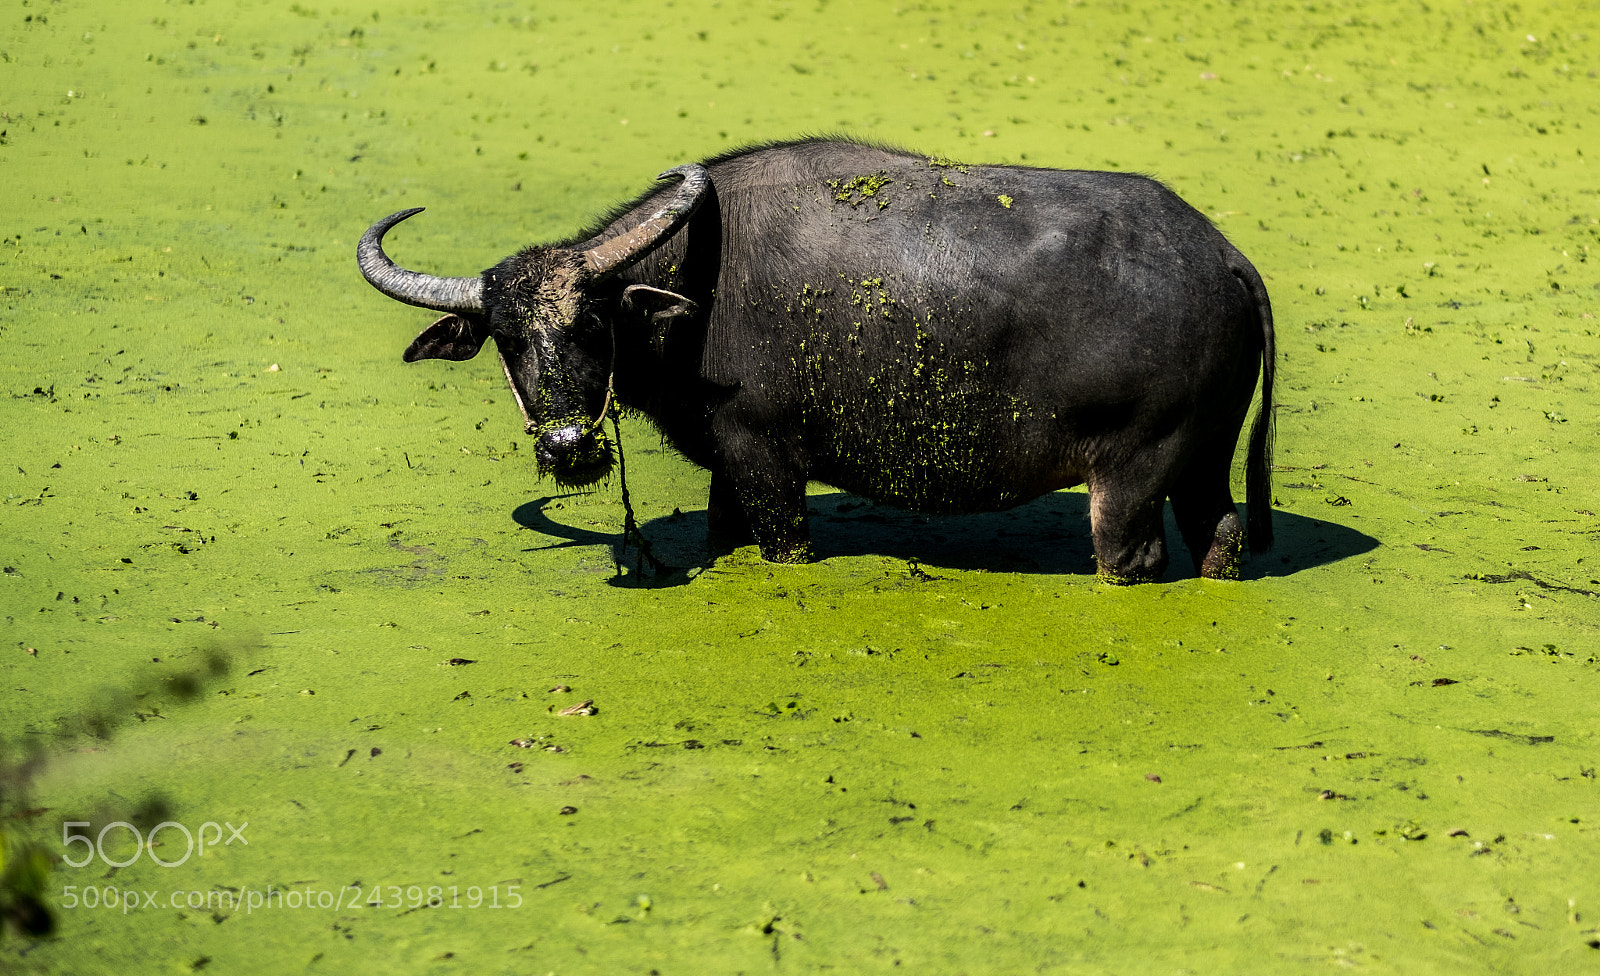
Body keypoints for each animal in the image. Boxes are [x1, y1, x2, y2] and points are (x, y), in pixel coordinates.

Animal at [358, 138, 1275, 582]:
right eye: (508, 338)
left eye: (590, 322)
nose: (566, 446)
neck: (696, 293)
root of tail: (1224, 256)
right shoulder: (729, 466)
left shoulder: (768, 458)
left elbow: (784, 545)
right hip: (1203, 458)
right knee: (1222, 537)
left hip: (1132, 472)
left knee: (1134, 558)